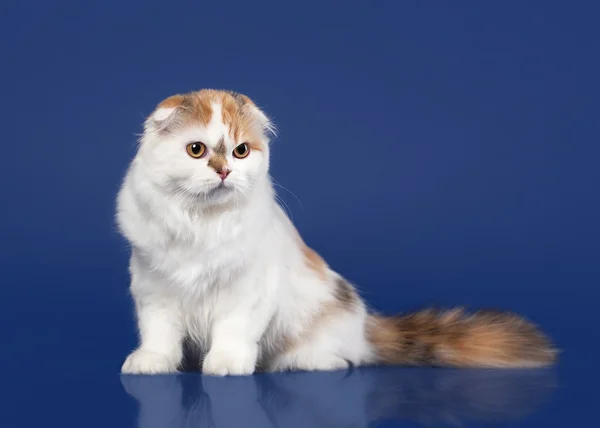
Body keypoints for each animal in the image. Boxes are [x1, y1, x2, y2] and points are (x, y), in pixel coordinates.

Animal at [115, 88, 556, 374]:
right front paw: (151, 363)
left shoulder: (247, 292)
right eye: (197, 150)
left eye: (241, 151)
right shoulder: (155, 290)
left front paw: (225, 364)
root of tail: (365, 329)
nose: (224, 172)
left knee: (345, 359)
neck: (201, 222)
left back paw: (302, 362)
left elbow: (233, 331)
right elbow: (159, 334)